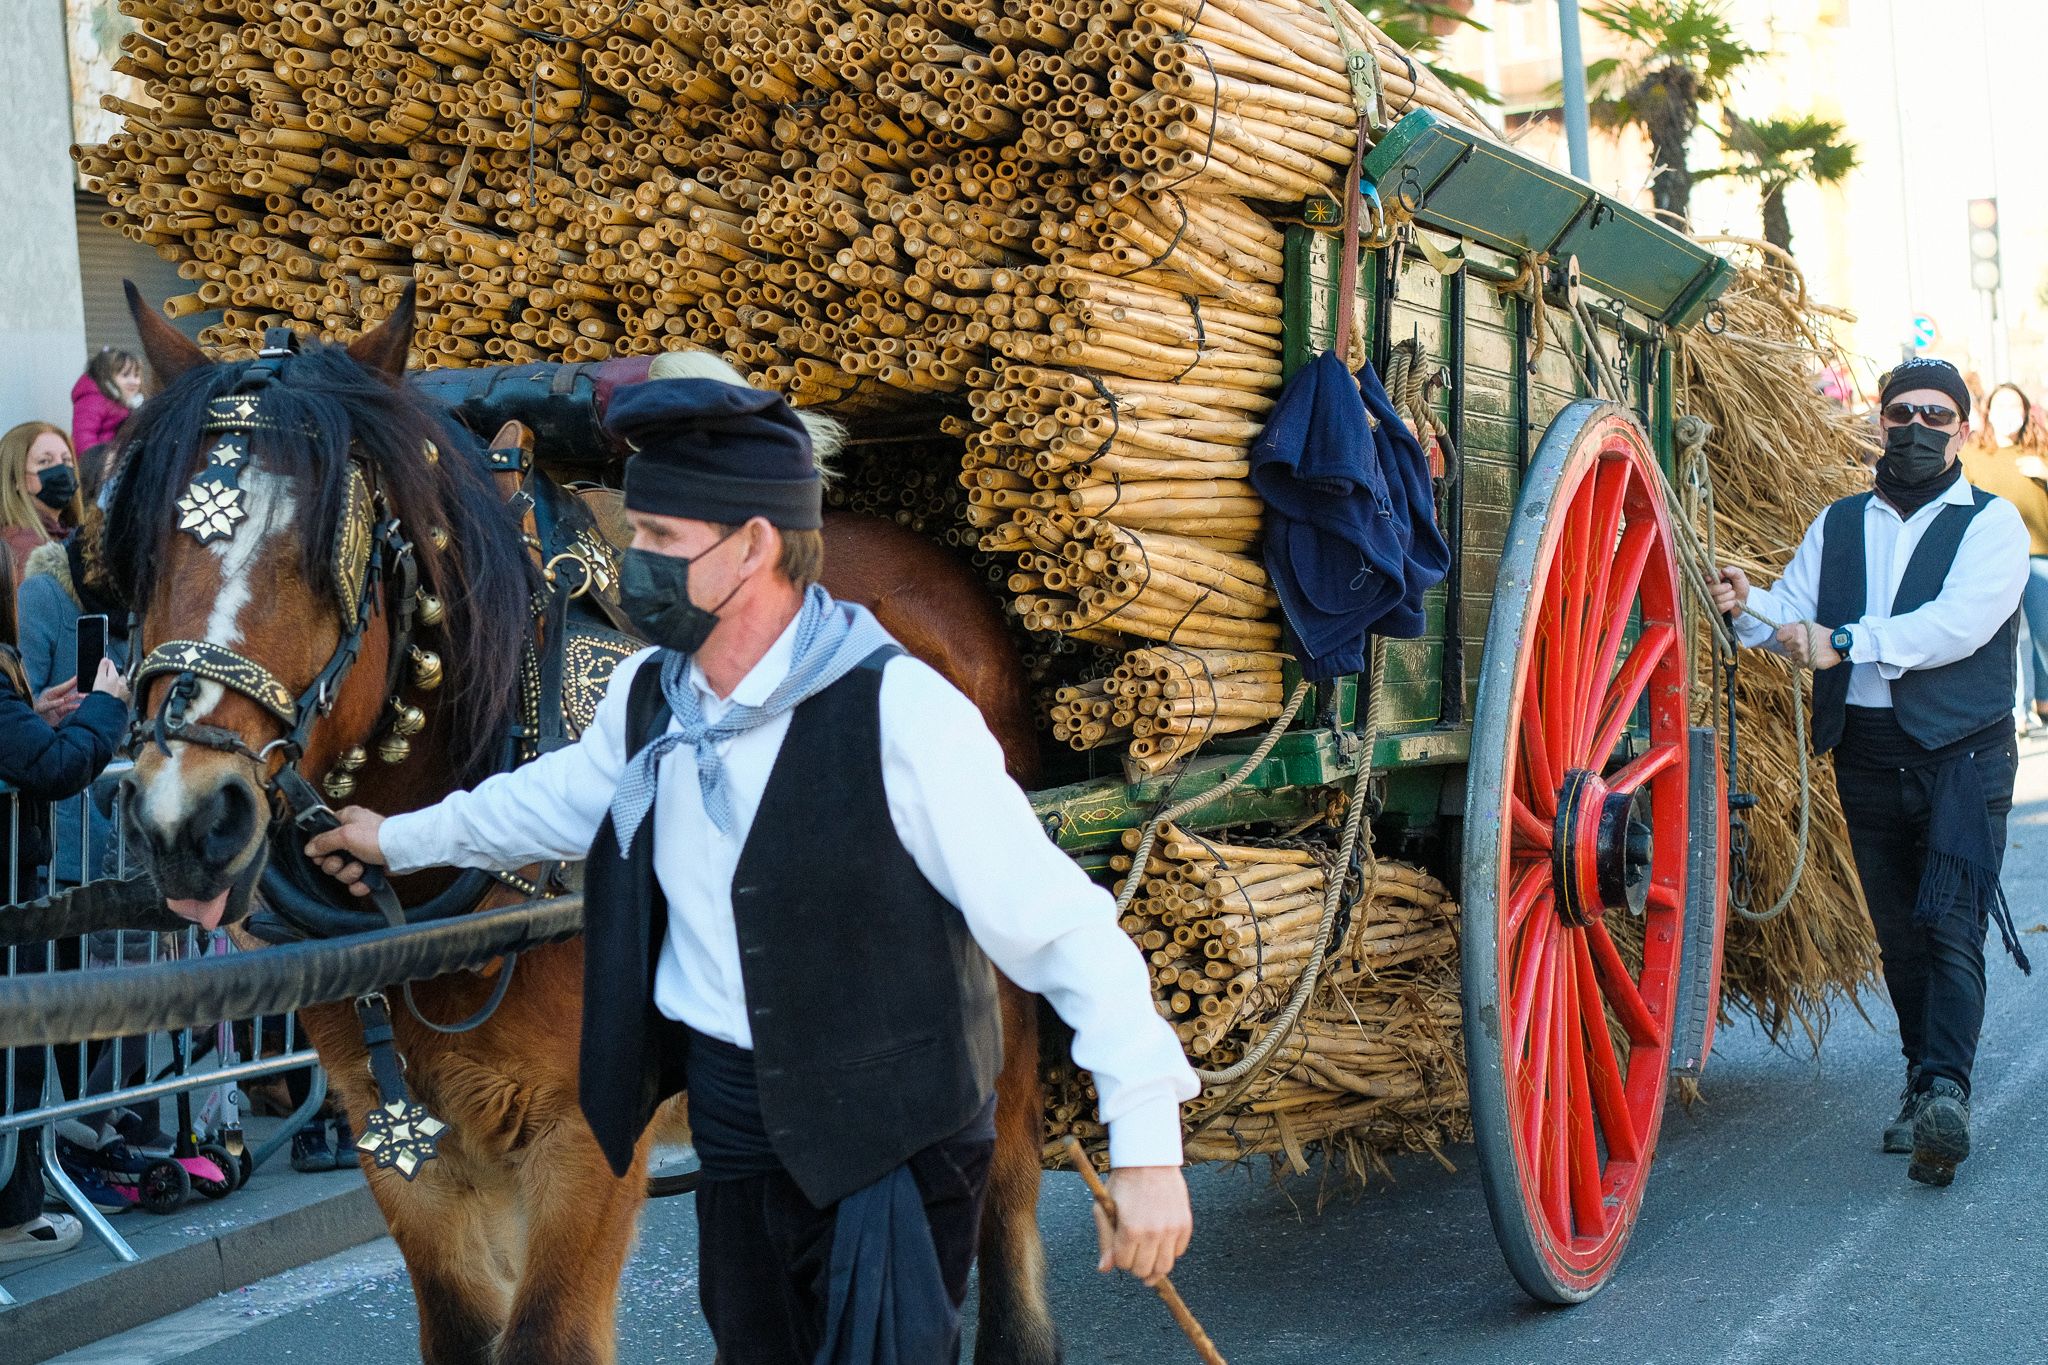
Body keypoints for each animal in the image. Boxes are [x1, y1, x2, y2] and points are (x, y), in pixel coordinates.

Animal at [116, 290, 1056, 1365]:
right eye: (143, 554)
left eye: (330, 557)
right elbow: (460, 1329)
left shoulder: (584, 1131)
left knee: (1005, 1172)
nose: (186, 816)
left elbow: (547, 1335)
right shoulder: (400, 1141)